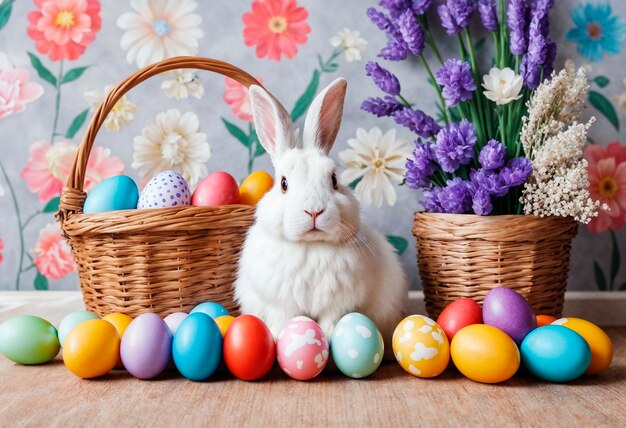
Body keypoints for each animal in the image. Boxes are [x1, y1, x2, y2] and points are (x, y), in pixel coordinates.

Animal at [233, 77, 404, 352]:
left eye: (334, 180)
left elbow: (331, 322)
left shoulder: (340, 303)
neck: (310, 247)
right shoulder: (282, 305)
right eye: (283, 183)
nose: (314, 210)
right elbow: (287, 320)